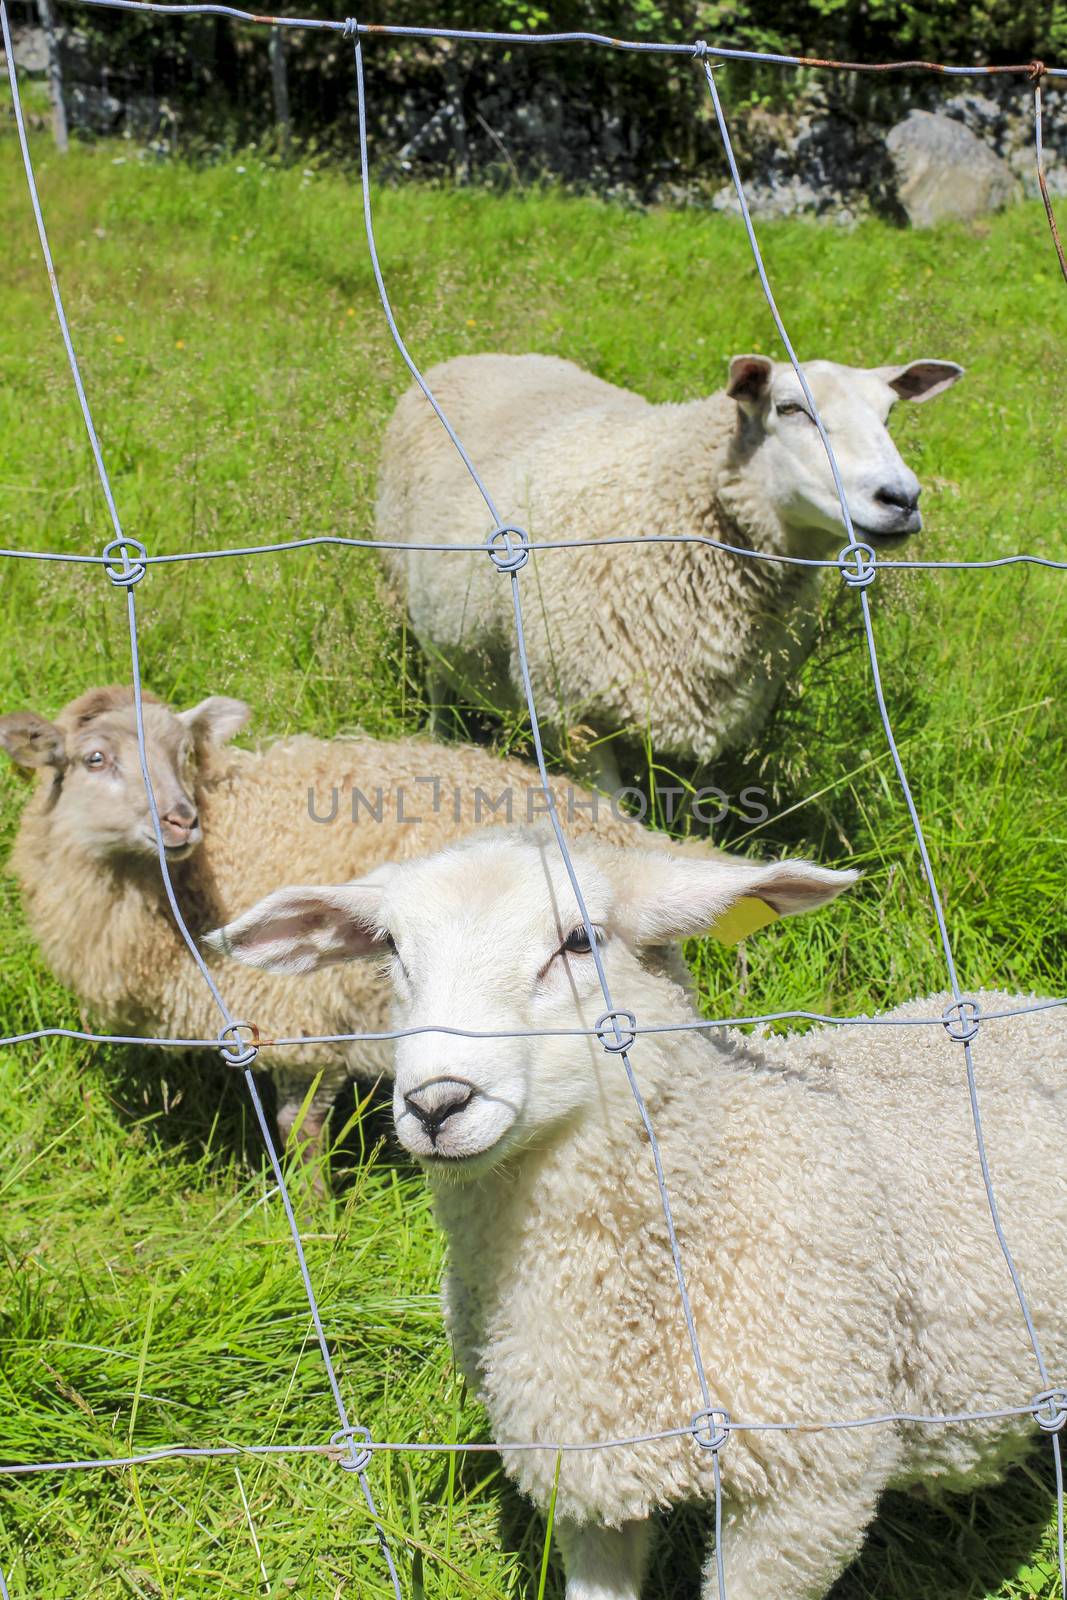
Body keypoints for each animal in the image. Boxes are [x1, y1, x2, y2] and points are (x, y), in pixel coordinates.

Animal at [377, 353, 966, 784]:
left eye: (888, 416)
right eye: (790, 408)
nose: (901, 499)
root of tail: (478, 355)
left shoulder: (717, 714)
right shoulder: (571, 710)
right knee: (437, 679)